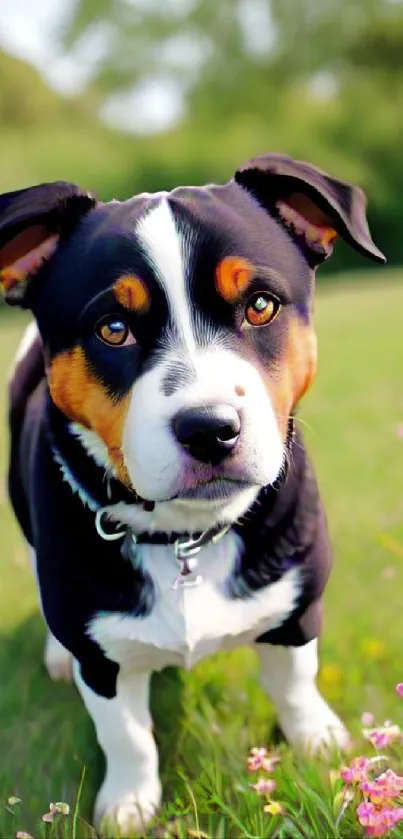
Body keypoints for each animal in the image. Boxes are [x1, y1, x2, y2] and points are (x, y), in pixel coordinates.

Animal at [0, 156, 386, 832]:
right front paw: (128, 804)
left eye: (260, 305)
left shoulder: (298, 601)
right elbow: (125, 734)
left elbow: (296, 683)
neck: (183, 533)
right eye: (113, 328)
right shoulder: (102, 657)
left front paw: (319, 744)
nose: (209, 428)